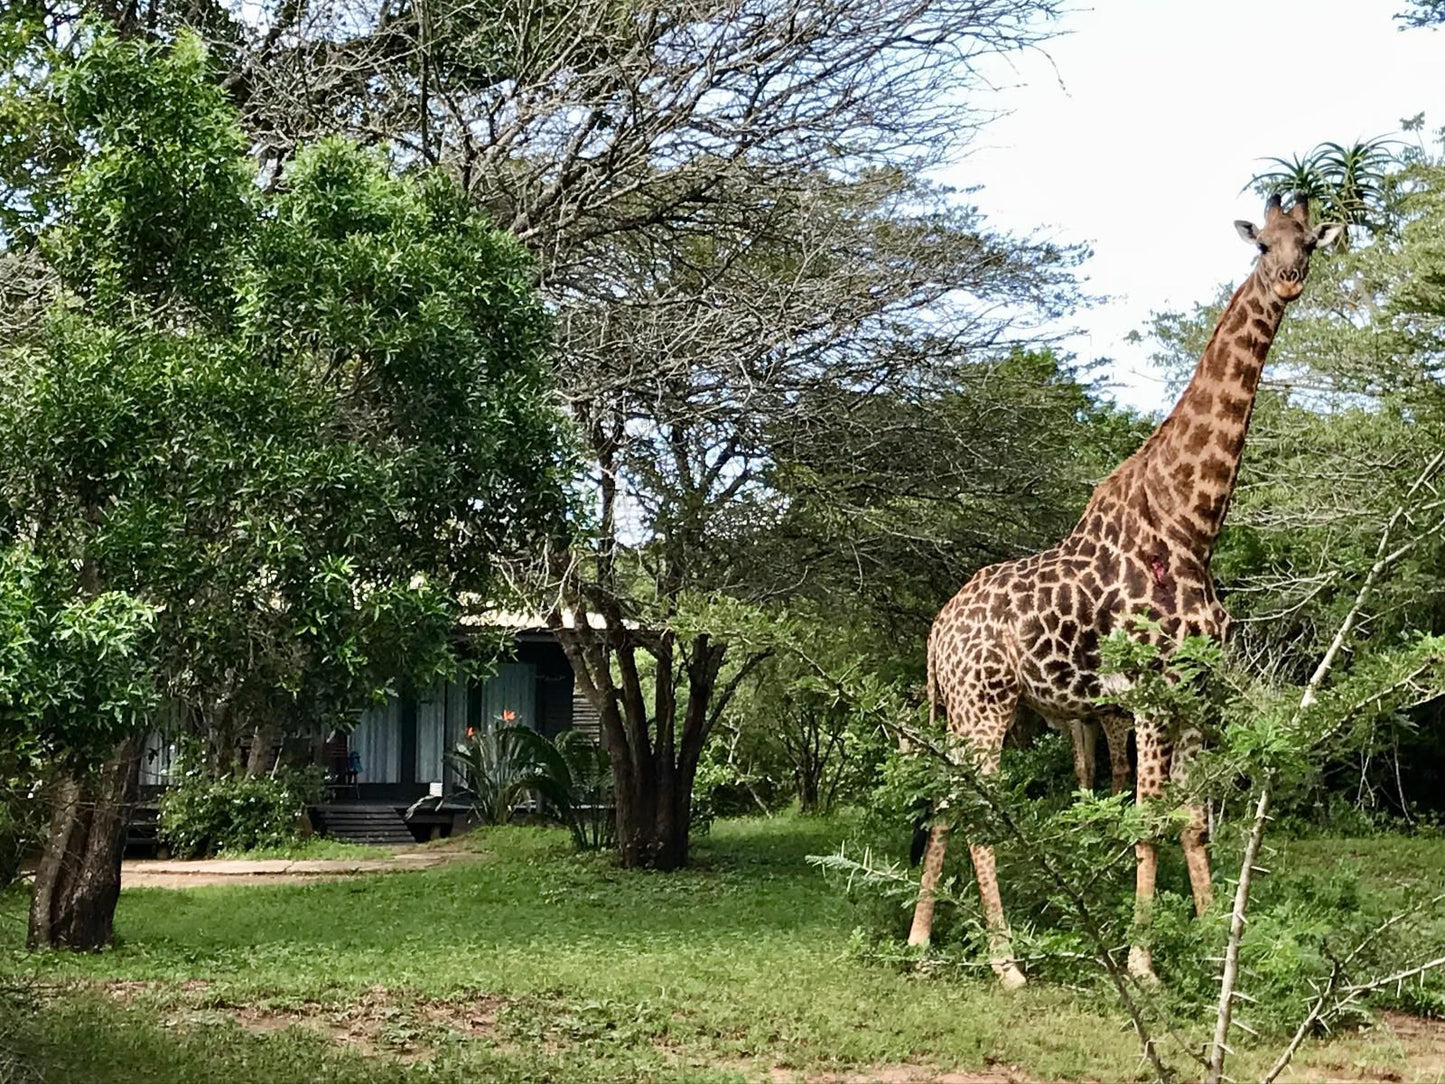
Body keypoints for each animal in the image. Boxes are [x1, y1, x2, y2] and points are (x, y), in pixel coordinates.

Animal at [913, 190, 1340, 988]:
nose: (1289, 281)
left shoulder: (1195, 696)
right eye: (1259, 244)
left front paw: (1215, 947)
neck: (1191, 526)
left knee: (949, 804)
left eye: (1307, 242)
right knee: (979, 815)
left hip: (964, 709)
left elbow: (1194, 821)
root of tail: (936, 632)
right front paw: (1143, 964)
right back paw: (1006, 964)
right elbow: (1147, 819)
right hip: (986, 705)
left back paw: (921, 942)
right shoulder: (1146, 694)